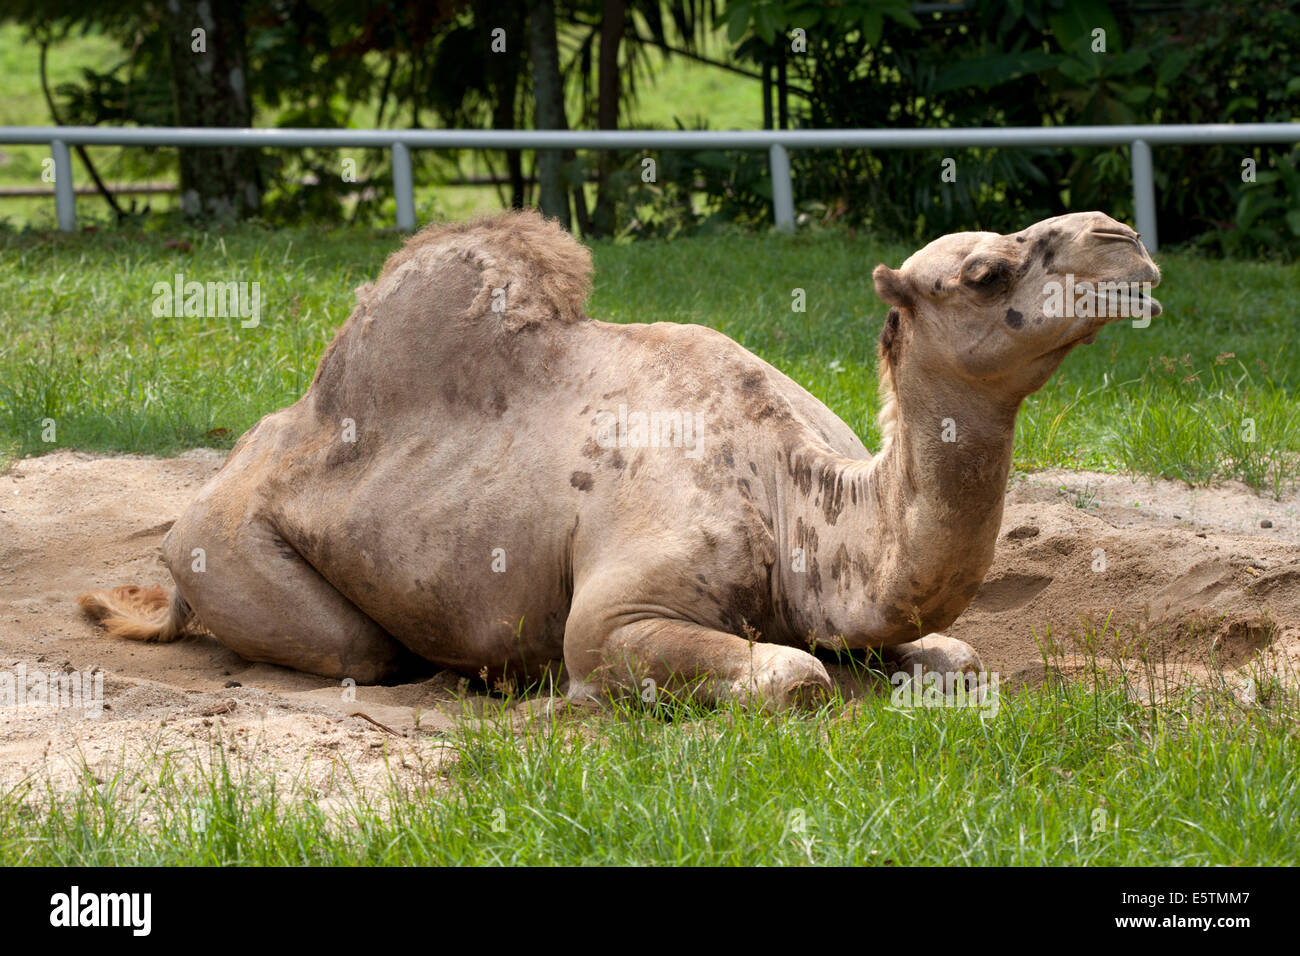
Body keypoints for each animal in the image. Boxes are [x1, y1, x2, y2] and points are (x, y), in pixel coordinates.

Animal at [76, 205, 1164, 707]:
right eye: (983, 272)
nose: (1123, 238)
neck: (794, 498)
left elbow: (957, 654)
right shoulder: (617, 611)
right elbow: (790, 676)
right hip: (229, 551)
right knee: (361, 649)